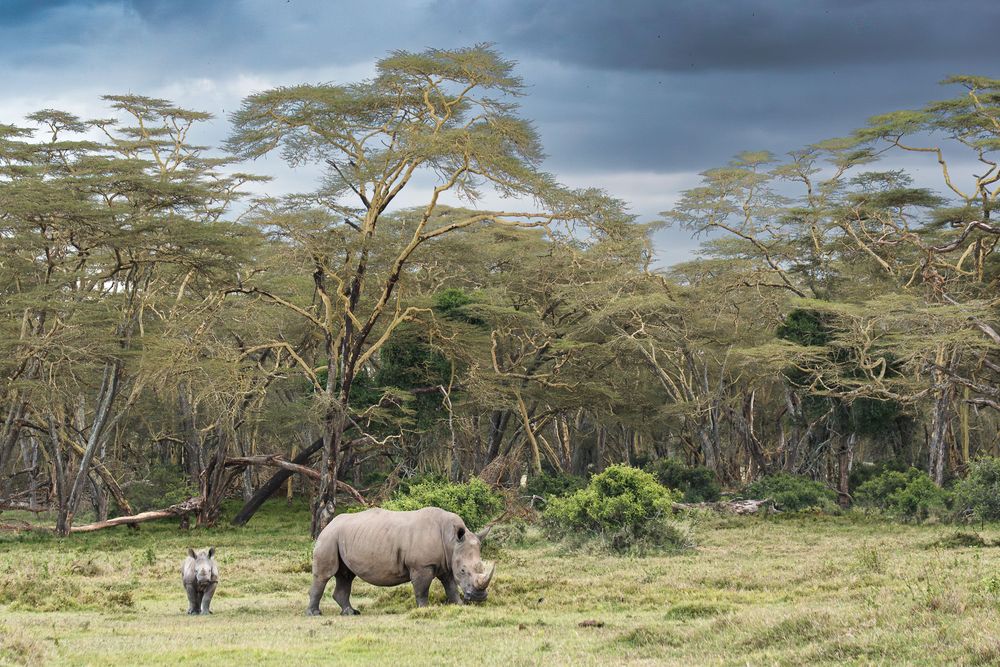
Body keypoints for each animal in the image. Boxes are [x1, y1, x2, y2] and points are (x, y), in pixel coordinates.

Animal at [306, 507, 495, 616]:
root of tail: (329, 524)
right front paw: (425, 610)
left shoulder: (447, 563)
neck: (451, 540)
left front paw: (459, 605)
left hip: (341, 537)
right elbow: (422, 589)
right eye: (463, 570)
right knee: (325, 574)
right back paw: (314, 614)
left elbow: (451, 586)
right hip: (329, 537)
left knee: (346, 575)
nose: (479, 597)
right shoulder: (421, 565)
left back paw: (351, 613)